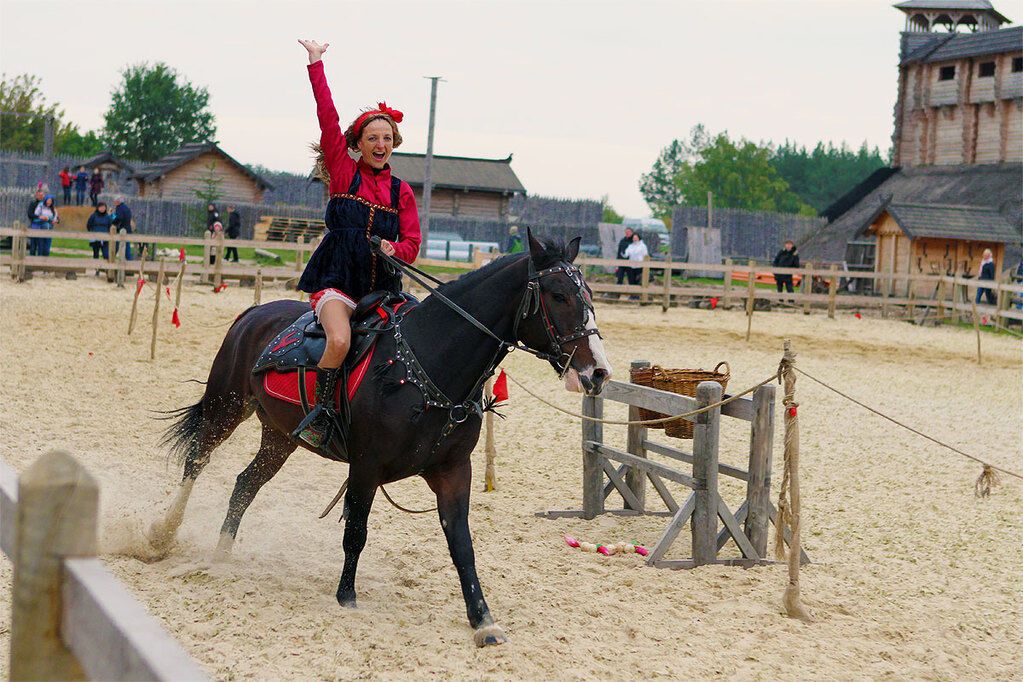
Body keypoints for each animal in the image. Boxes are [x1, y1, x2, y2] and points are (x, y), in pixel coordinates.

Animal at [149, 232, 609, 650]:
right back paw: (160, 534)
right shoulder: (365, 466)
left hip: (278, 437)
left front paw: (483, 620)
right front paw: (347, 597)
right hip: (225, 407)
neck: (428, 363)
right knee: (196, 460)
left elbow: (462, 544)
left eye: (587, 294)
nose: (598, 372)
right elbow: (356, 531)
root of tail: (255, 311)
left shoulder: (453, 470)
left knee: (245, 484)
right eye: (558, 295)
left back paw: (221, 555)